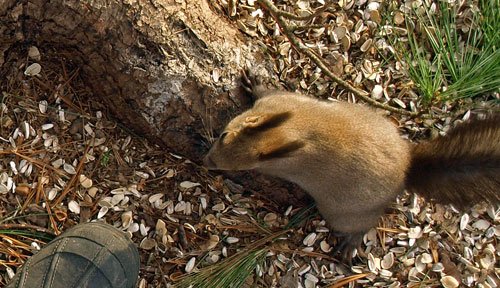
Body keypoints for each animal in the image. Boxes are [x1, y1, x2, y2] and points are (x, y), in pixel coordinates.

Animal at [203, 76, 500, 260]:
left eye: (238, 168)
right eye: (224, 135)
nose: (208, 162)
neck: (287, 131)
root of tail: (406, 169)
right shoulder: (280, 102)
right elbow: (267, 93)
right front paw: (253, 83)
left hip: (343, 213)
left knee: (363, 223)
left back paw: (352, 242)